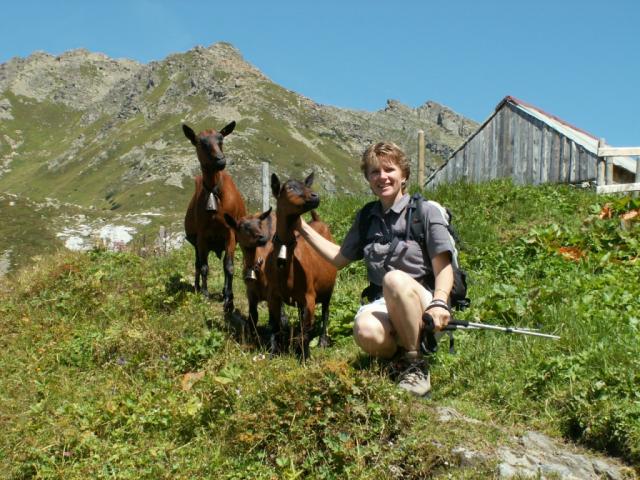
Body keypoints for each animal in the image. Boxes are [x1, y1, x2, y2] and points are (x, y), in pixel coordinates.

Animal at [183, 121, 246, 312]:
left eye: (221, 139)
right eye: (200, 142)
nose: (220, 160)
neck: (214, 191)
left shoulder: (230, 233)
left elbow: (229, 267)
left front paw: (229, 300)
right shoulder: (202, 236)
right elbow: (204, 267)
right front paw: (204, 294)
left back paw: (225, 291)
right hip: (197, 243)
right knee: (197, 264)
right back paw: (197, 287)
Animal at [265, 172, 337, 359]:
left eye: (306, 185)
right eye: (290, 187)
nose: (315, 196)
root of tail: (317, 221)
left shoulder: (309, 296)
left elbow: (306, 329)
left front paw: (305, 356)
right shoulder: (273, 295)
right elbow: (274, 324)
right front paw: (273, 352)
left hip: (328, 288)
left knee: (325, 312)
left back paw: (322, 341)